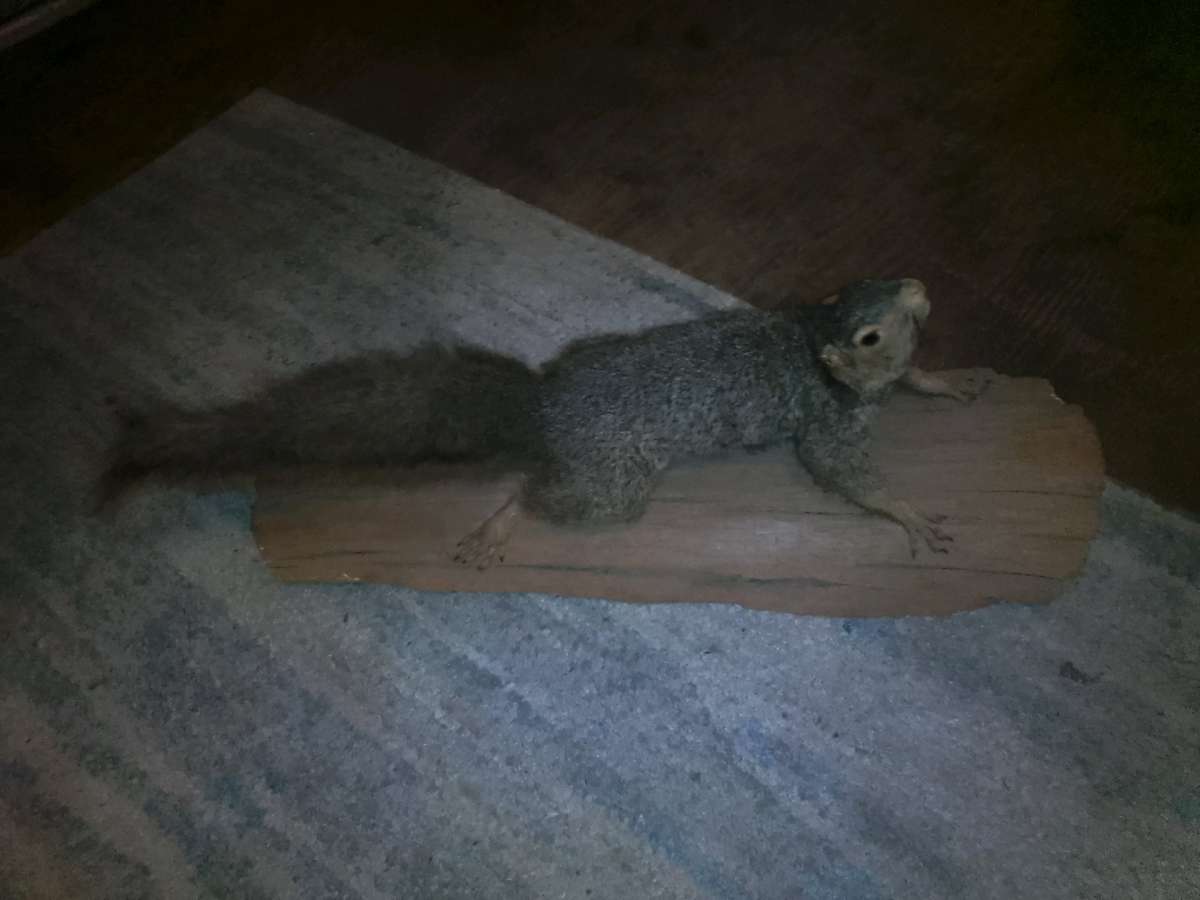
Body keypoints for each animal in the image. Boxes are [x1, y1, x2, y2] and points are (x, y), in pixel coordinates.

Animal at [100, 278, 985, 565]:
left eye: (878, 280)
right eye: (866, 332)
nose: (918, 285)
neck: (810, 341)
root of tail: (546, 405)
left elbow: (922, 384)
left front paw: (949, 383)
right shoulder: (828, 423)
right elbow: (843, 473)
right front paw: (906, 512)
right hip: (613, 485)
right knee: (539, 495)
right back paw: (503, 520)